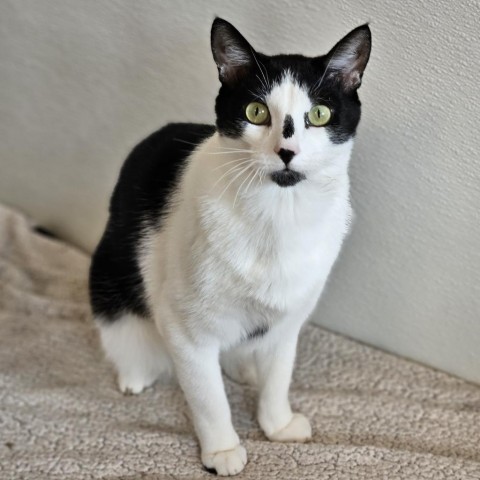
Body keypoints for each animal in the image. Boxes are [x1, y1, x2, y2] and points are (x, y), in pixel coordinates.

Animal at [89, 17, 372, 476]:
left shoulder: (290, 318)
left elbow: (279, 376)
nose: (286, 150)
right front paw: (221, 449)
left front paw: (277, 424)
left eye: (319, 114)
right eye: (256, 112)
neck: (279, 216)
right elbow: (208, 398)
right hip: (112, 274)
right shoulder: (184, 328)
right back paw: (135, 372)